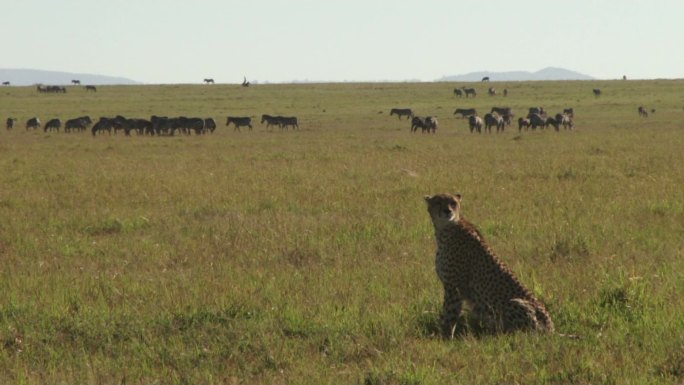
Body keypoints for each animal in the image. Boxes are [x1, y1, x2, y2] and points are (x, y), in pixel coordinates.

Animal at [422, 192, 556, 336]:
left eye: (453, 203)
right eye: (438, 202)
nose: (448, 211)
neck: (445, 229)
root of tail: (551, 328)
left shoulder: (454, 287)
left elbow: (449, 313)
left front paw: (444, 336)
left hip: (514, 302)